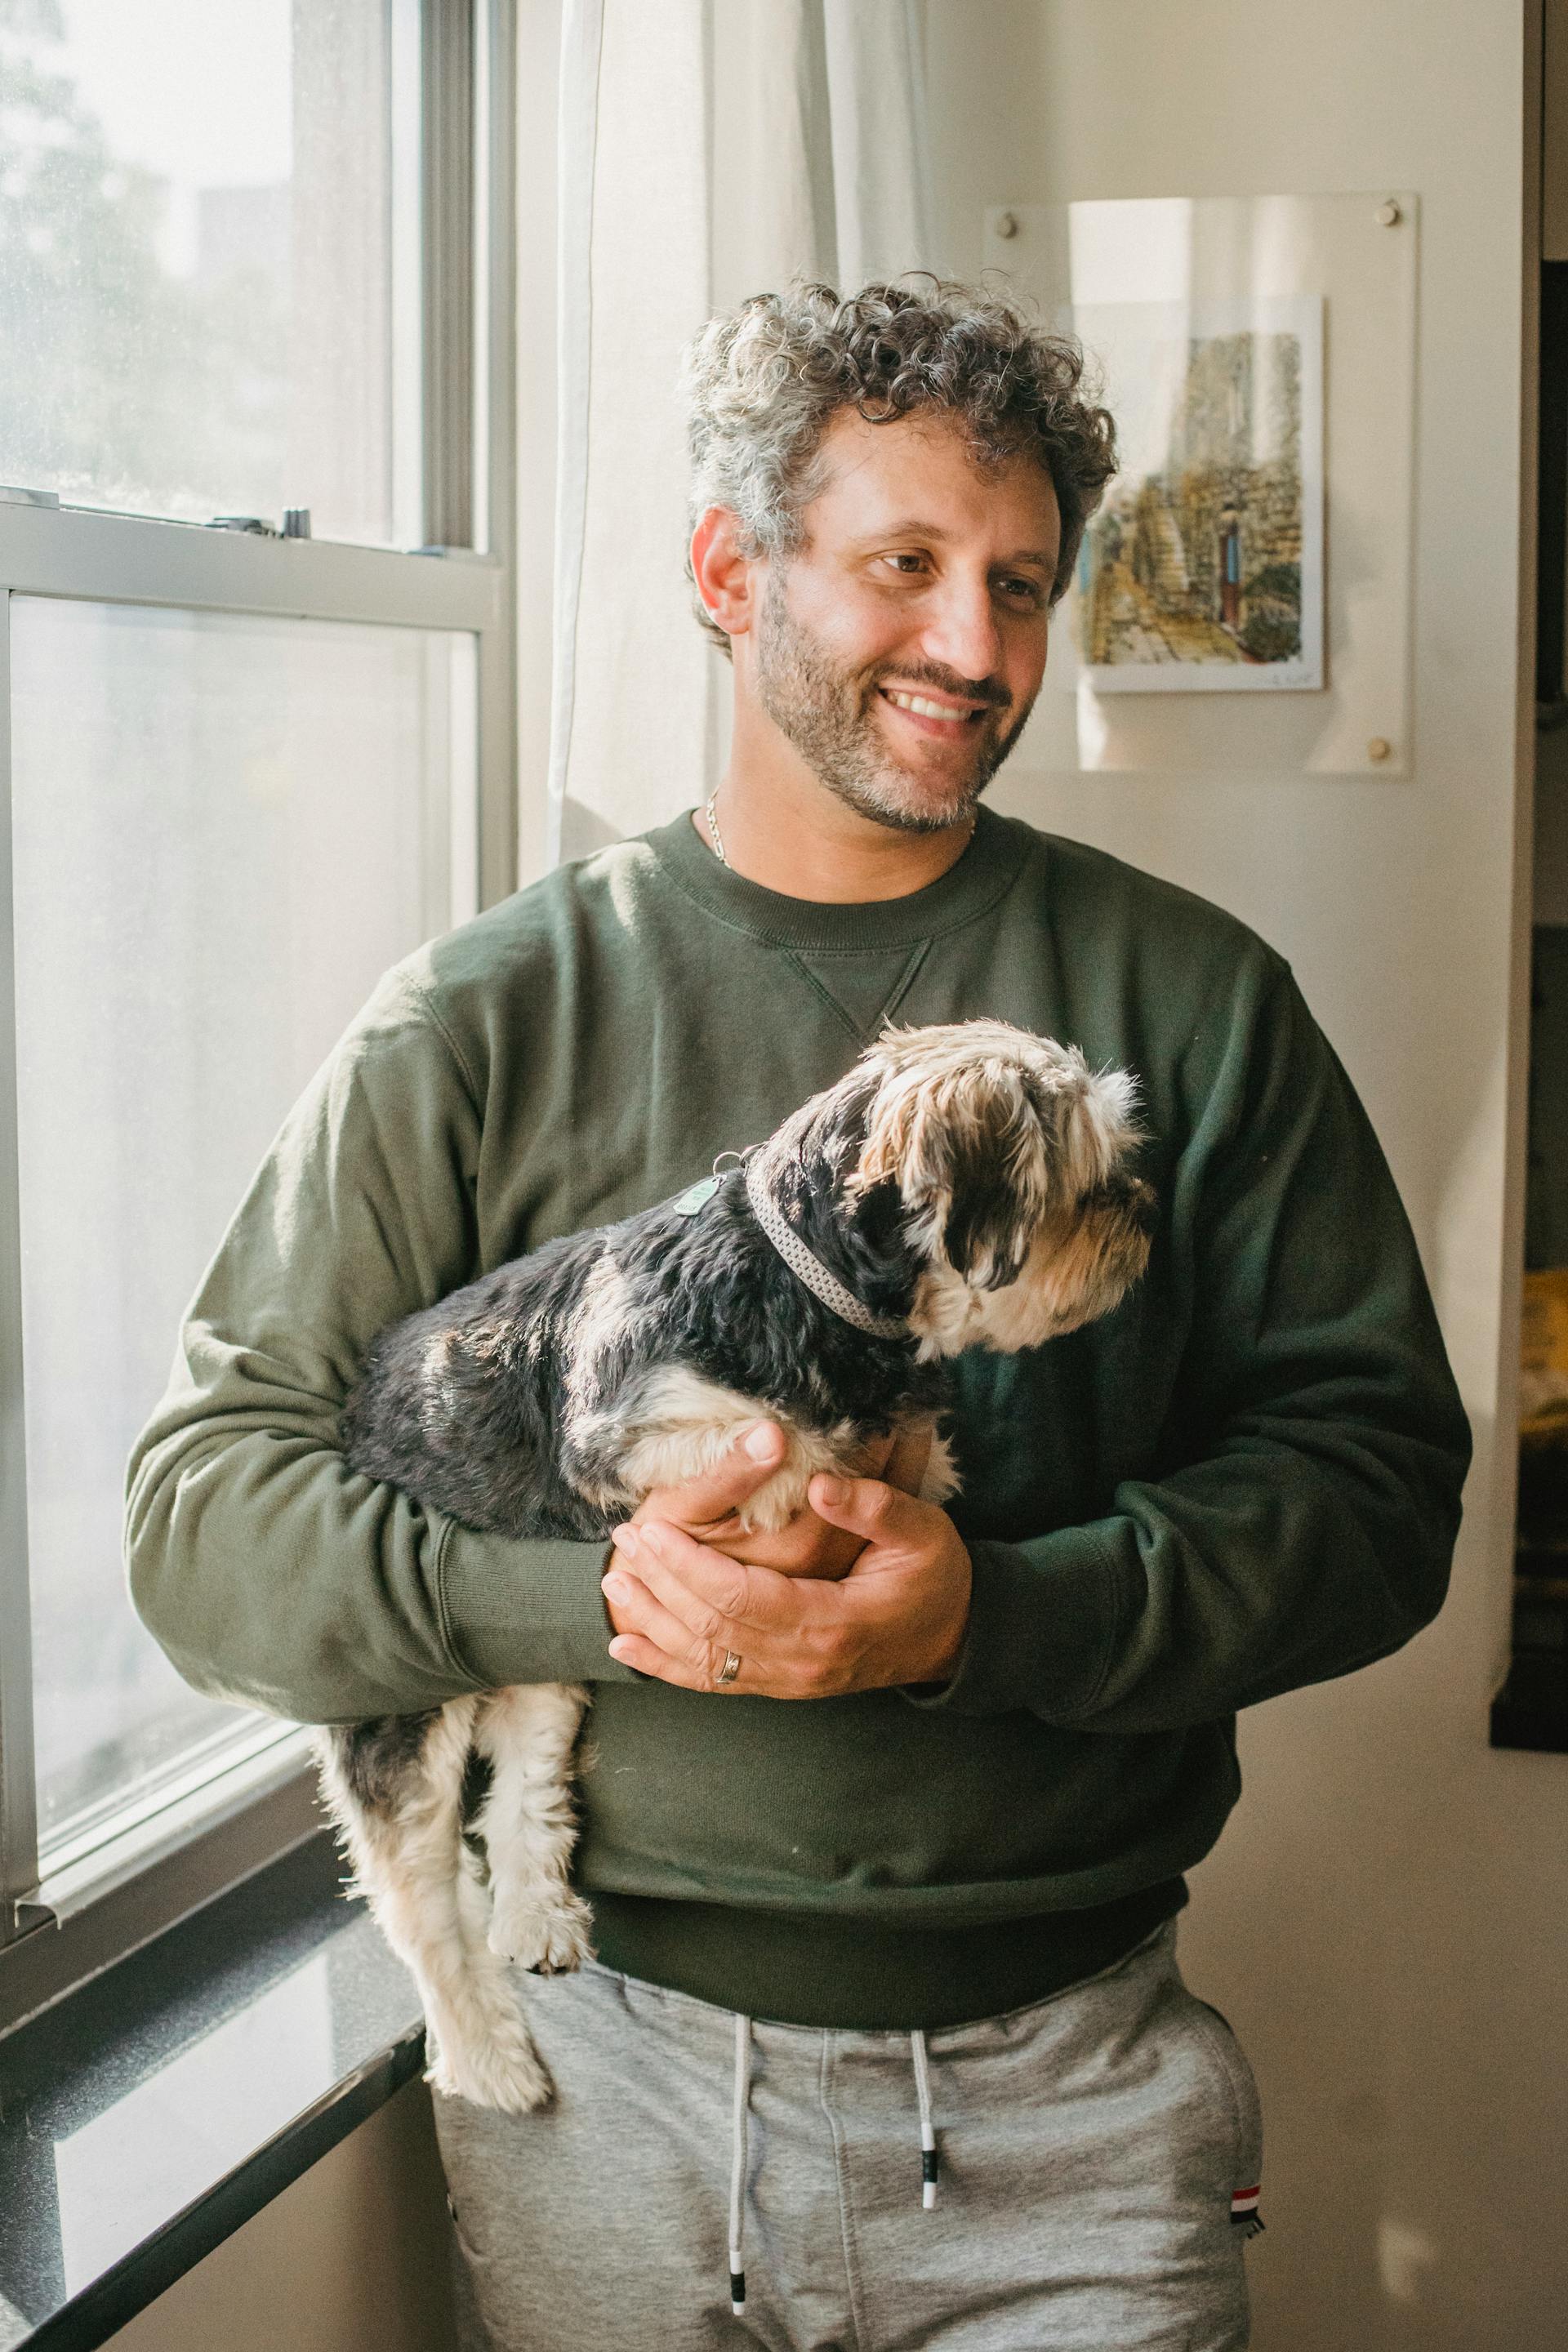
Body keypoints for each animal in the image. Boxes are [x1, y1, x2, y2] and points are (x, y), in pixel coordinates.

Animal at [314, 1016, 1152, 2117]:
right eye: (1084, 1176)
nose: (1144, 1212)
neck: (800, 1286)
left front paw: (921, 1454)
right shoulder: (627, 1438)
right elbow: (781, 1446)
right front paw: (823, 1460)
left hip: (536, 1671)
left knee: (523, 1786)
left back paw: (536, 1919)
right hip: (395, 1712)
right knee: (420, 1907)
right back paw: (488, 2060)